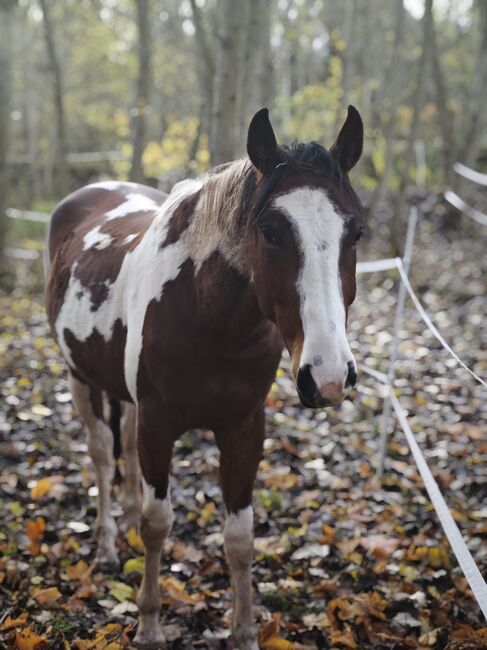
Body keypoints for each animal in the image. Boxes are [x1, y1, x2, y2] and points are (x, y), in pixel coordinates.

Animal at [44, 105, 364, 649]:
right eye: (271, 230)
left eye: (356, 232)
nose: (328, 375)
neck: (208, 316)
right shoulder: (158, 424)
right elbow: (157, 523)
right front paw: (150, 625)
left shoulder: (243, 428)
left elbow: (239, 537)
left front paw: (245, 632)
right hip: (78, 378)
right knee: (102, 455)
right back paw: (108, 544)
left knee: (123, 444)